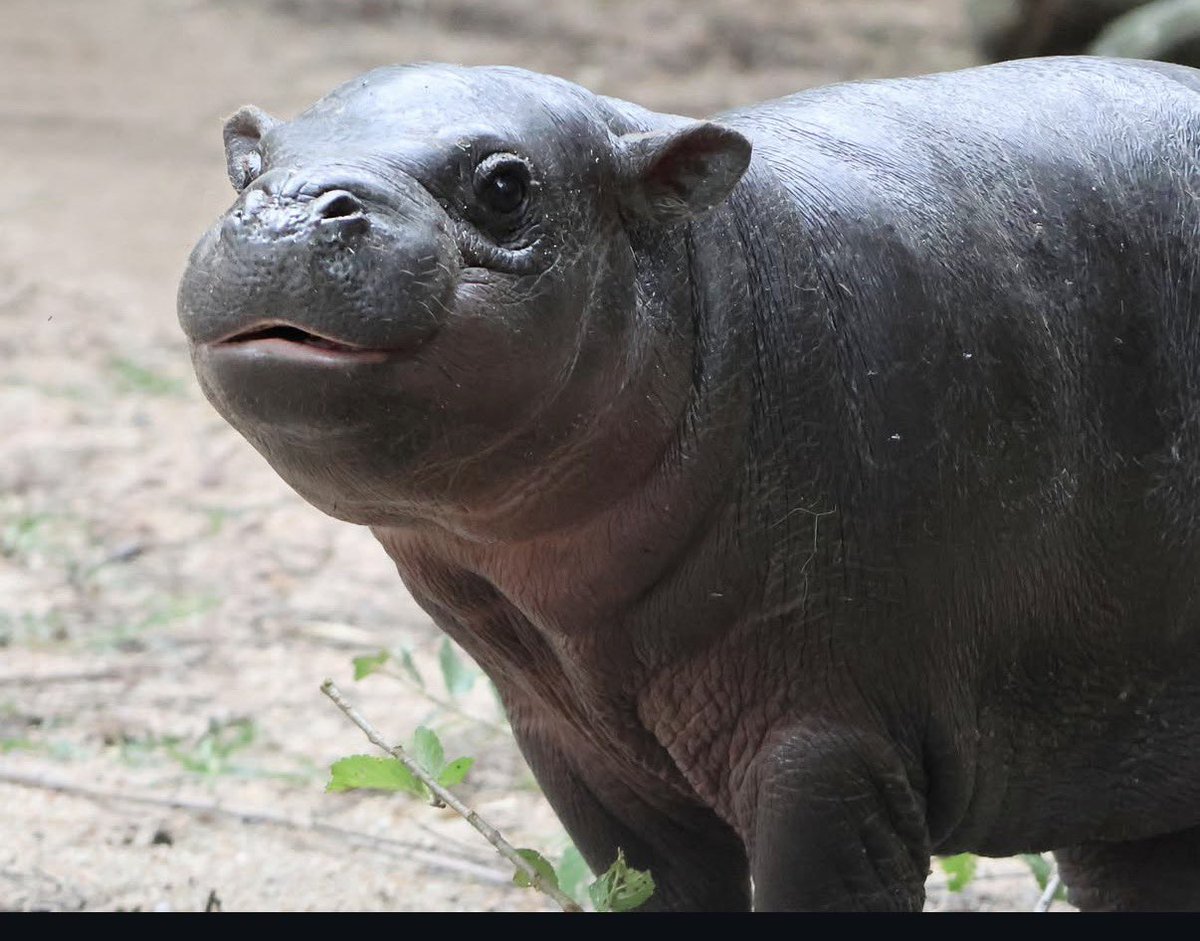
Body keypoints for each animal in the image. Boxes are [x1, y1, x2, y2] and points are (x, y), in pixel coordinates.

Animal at [178, 57, 1200, 911]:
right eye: (248, 166)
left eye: (505, 185)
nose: (286, 208)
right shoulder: (581, 752)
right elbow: (654, 887)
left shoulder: (822, 742)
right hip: (1125, 783)